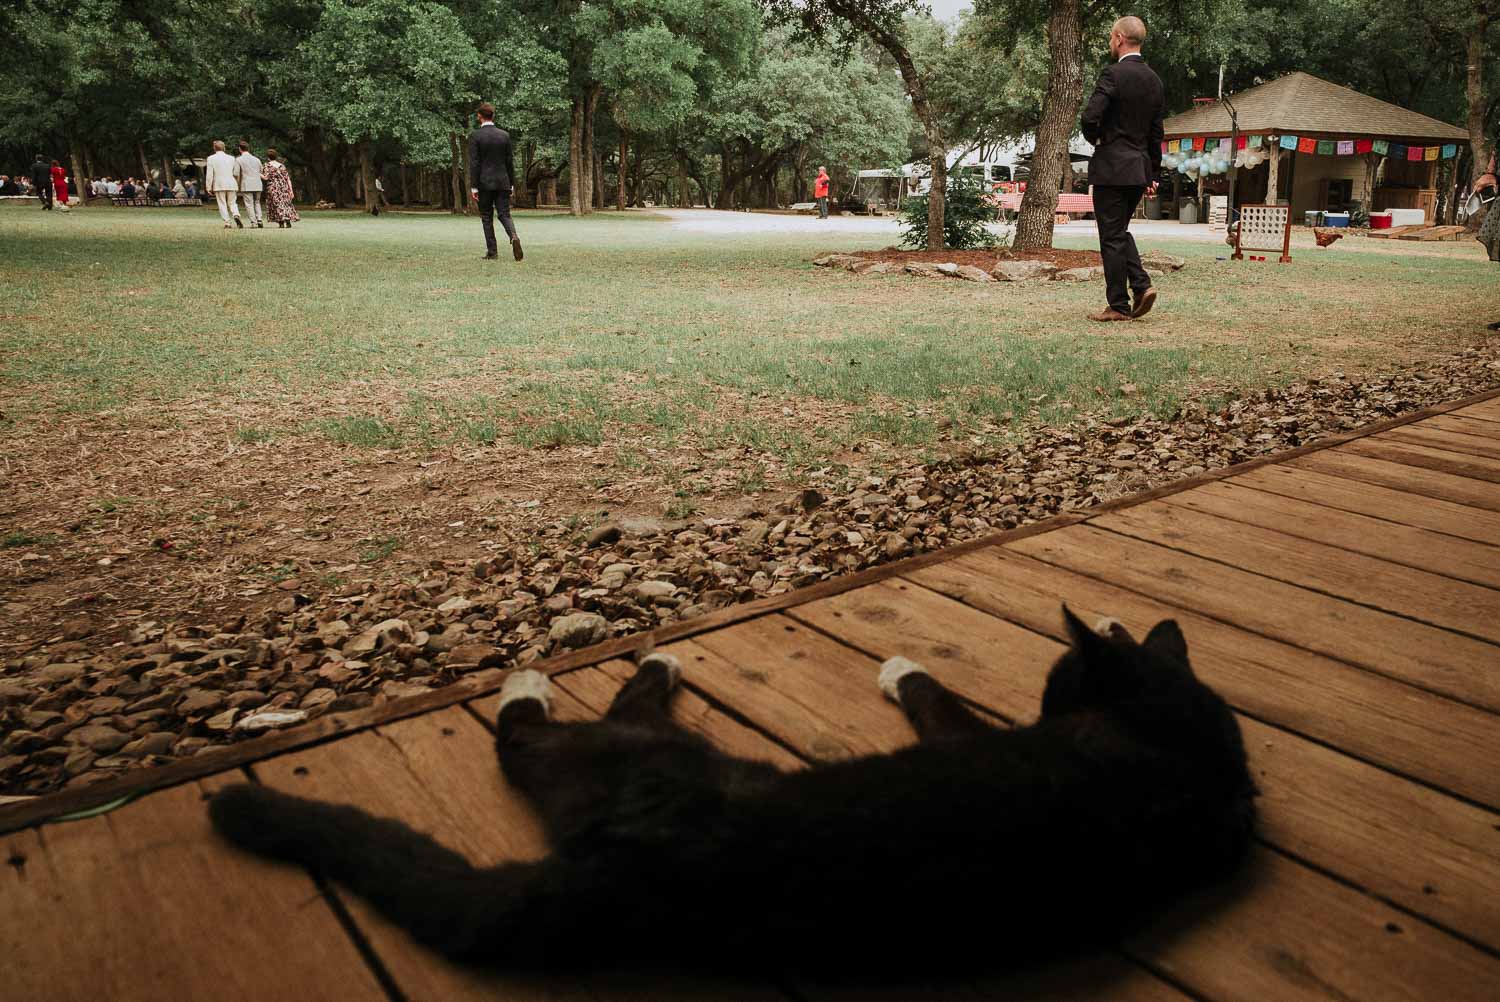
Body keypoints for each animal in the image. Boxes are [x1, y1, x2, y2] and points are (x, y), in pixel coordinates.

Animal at [208, 606, 1254, 972]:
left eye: (1053, 689)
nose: (1044, 701)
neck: (1177, 740)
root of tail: (628, 870)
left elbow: (935, 694)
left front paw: (902, 667)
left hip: (629, 754)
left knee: (533, 737)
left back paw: (555, 678)